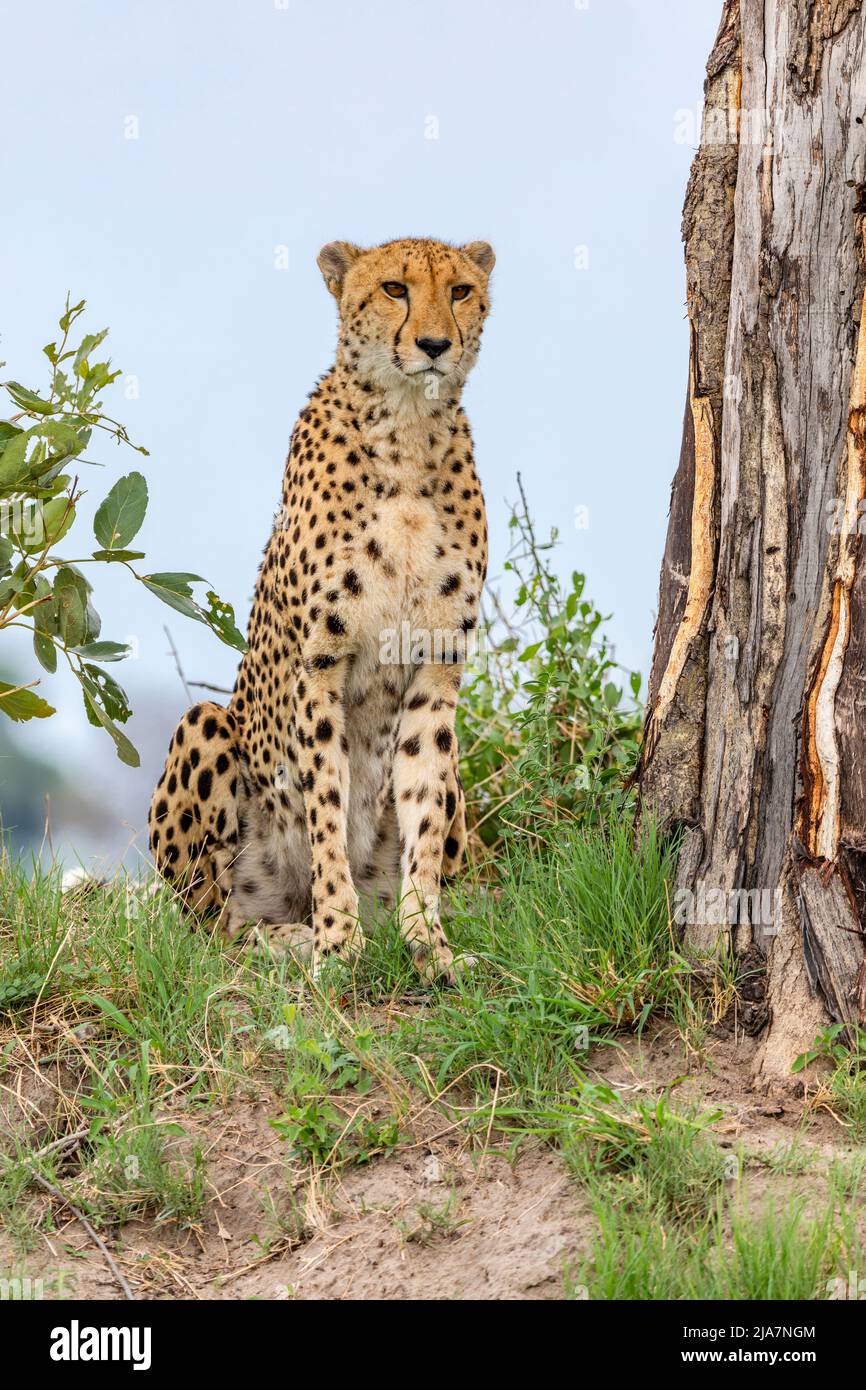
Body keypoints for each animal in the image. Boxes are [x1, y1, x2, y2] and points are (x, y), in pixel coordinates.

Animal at [148, 236, 494, 978]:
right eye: (394, 288)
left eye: (459, 291)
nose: (433, 344)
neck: (408, 432)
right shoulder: (321, 667)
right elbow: (326, 807)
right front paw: (338, 941)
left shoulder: (436, 672)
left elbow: (423, 815)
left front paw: (428, 943)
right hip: (206, 730)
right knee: (210, 932)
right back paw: (288, 936)